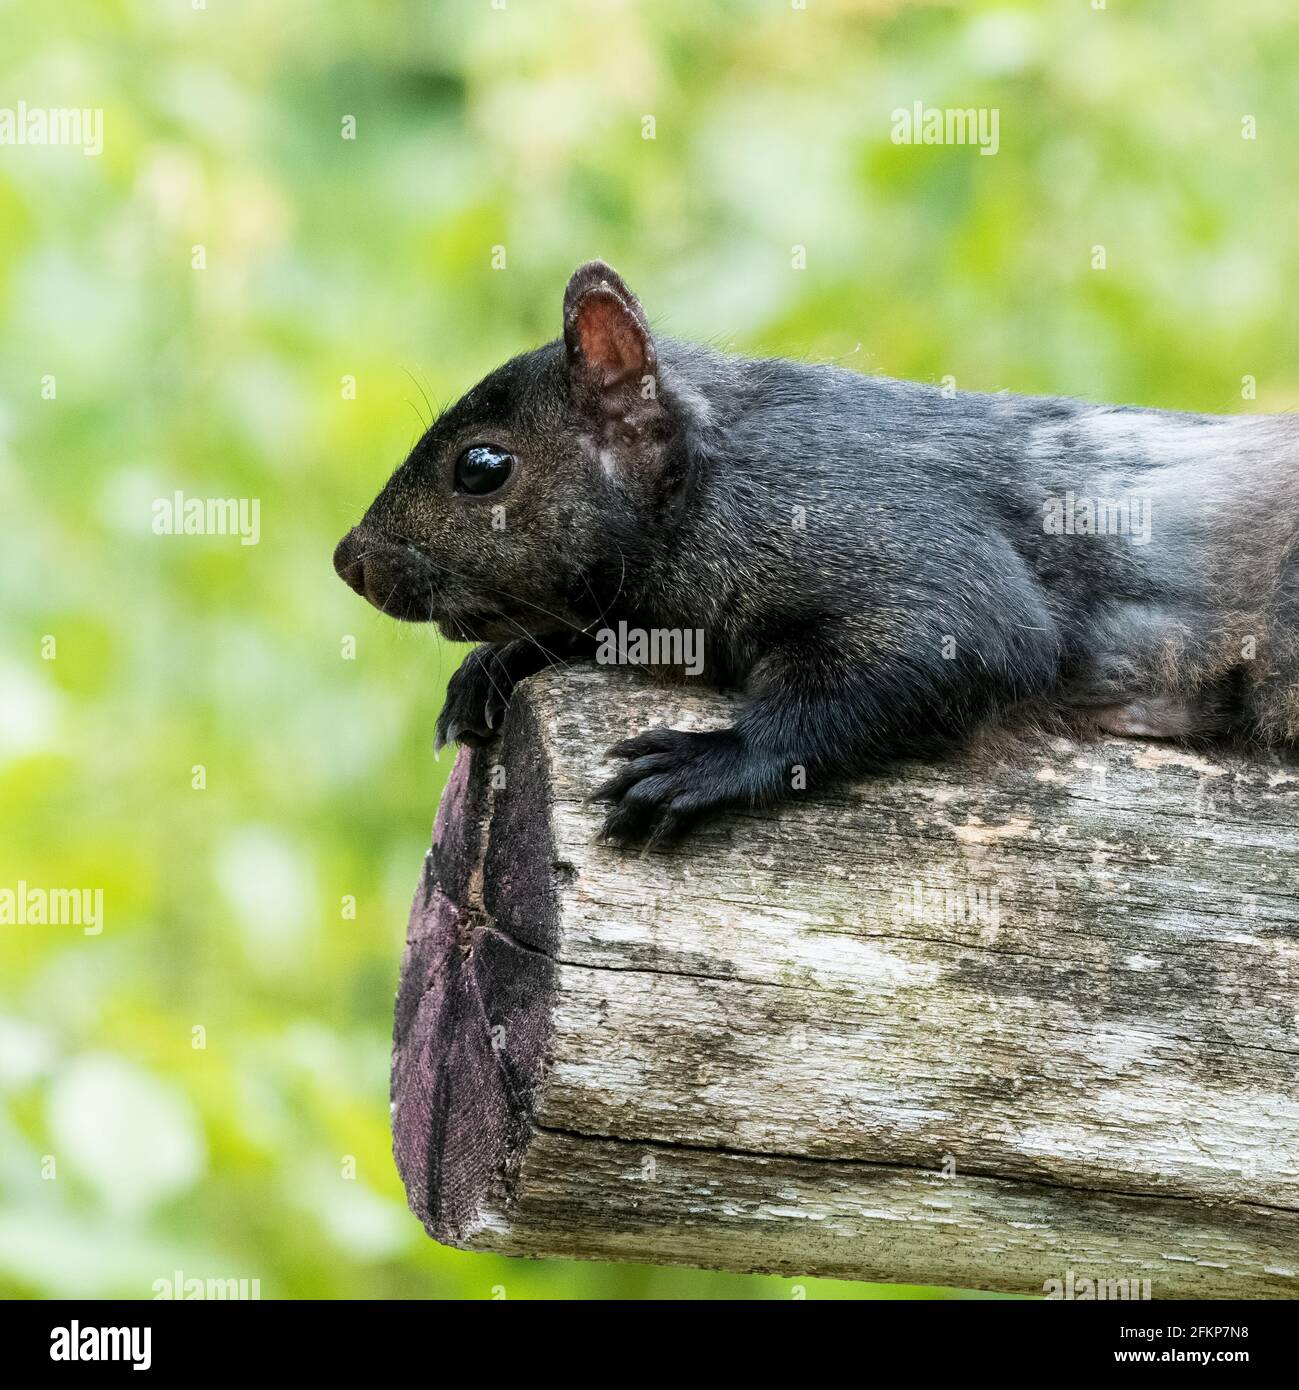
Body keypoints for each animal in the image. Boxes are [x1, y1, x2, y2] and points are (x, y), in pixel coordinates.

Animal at [334, 260, 1299, 845]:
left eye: (481, 467)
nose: (350, 563)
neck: (715, 479)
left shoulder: (887, 537)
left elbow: (956, 648)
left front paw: (710, 761)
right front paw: (498, 665)